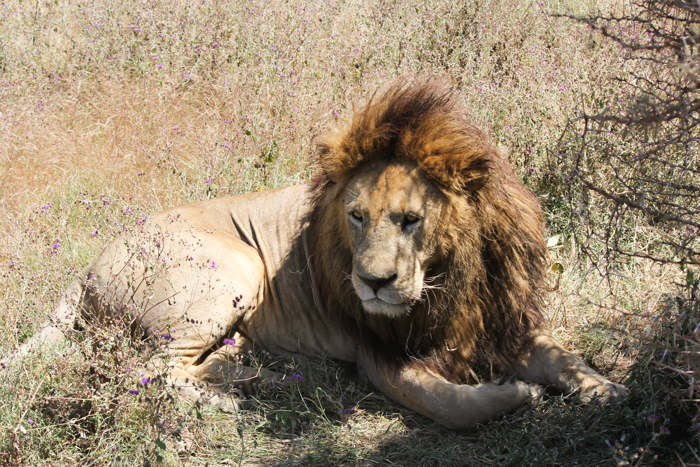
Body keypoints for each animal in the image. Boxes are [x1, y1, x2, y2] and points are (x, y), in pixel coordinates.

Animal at [8, 82, 628, 430]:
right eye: (355, 216)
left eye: (411, 219)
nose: (373, 283)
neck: (448, 278)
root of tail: (87, 266)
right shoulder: (378, 352)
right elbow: (449, 406)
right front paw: (514, 393)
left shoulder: (501, 320)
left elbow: (564, 357)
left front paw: (609, 390)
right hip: (238, 266)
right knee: (144, 370)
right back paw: (234, 402)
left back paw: (246, 372)